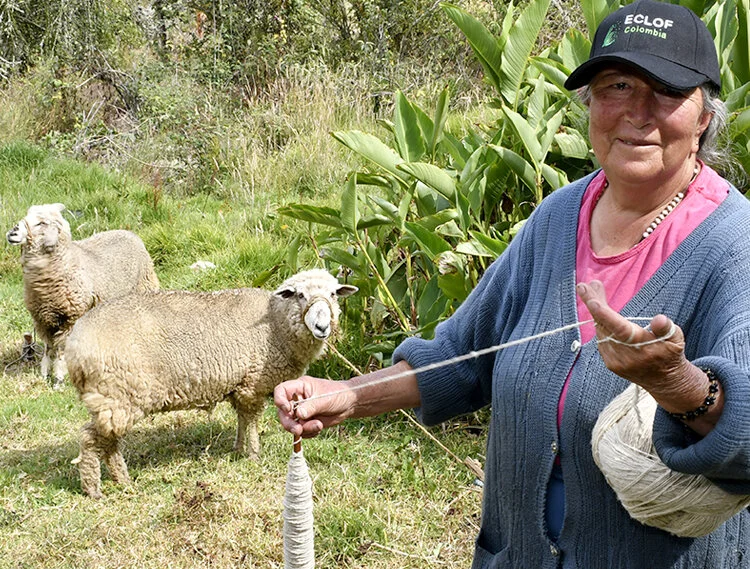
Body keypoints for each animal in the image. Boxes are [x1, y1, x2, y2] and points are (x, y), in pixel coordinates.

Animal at [6, 203, 160, 389]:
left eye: (42, 223)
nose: (13, 231)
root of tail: (131, 233)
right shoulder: (43, 320)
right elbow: (49, 349)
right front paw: (44, 375)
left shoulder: (70, 318)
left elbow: (61, 351)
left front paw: (59, 380)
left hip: (144, 289)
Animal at [64, 269, 358, 498]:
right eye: (299, 295)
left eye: (333, 294)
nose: (322, 327)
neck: (275, 324)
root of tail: (74, 346)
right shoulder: (253, 384)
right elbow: (252, 421)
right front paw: (253, 455)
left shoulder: (240, 386)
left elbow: (242, 420)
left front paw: (238, 450)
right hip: (117, 394)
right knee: (90, 438)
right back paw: (94, 489)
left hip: (116, 398)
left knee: (109, 441)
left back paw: (122, 481)